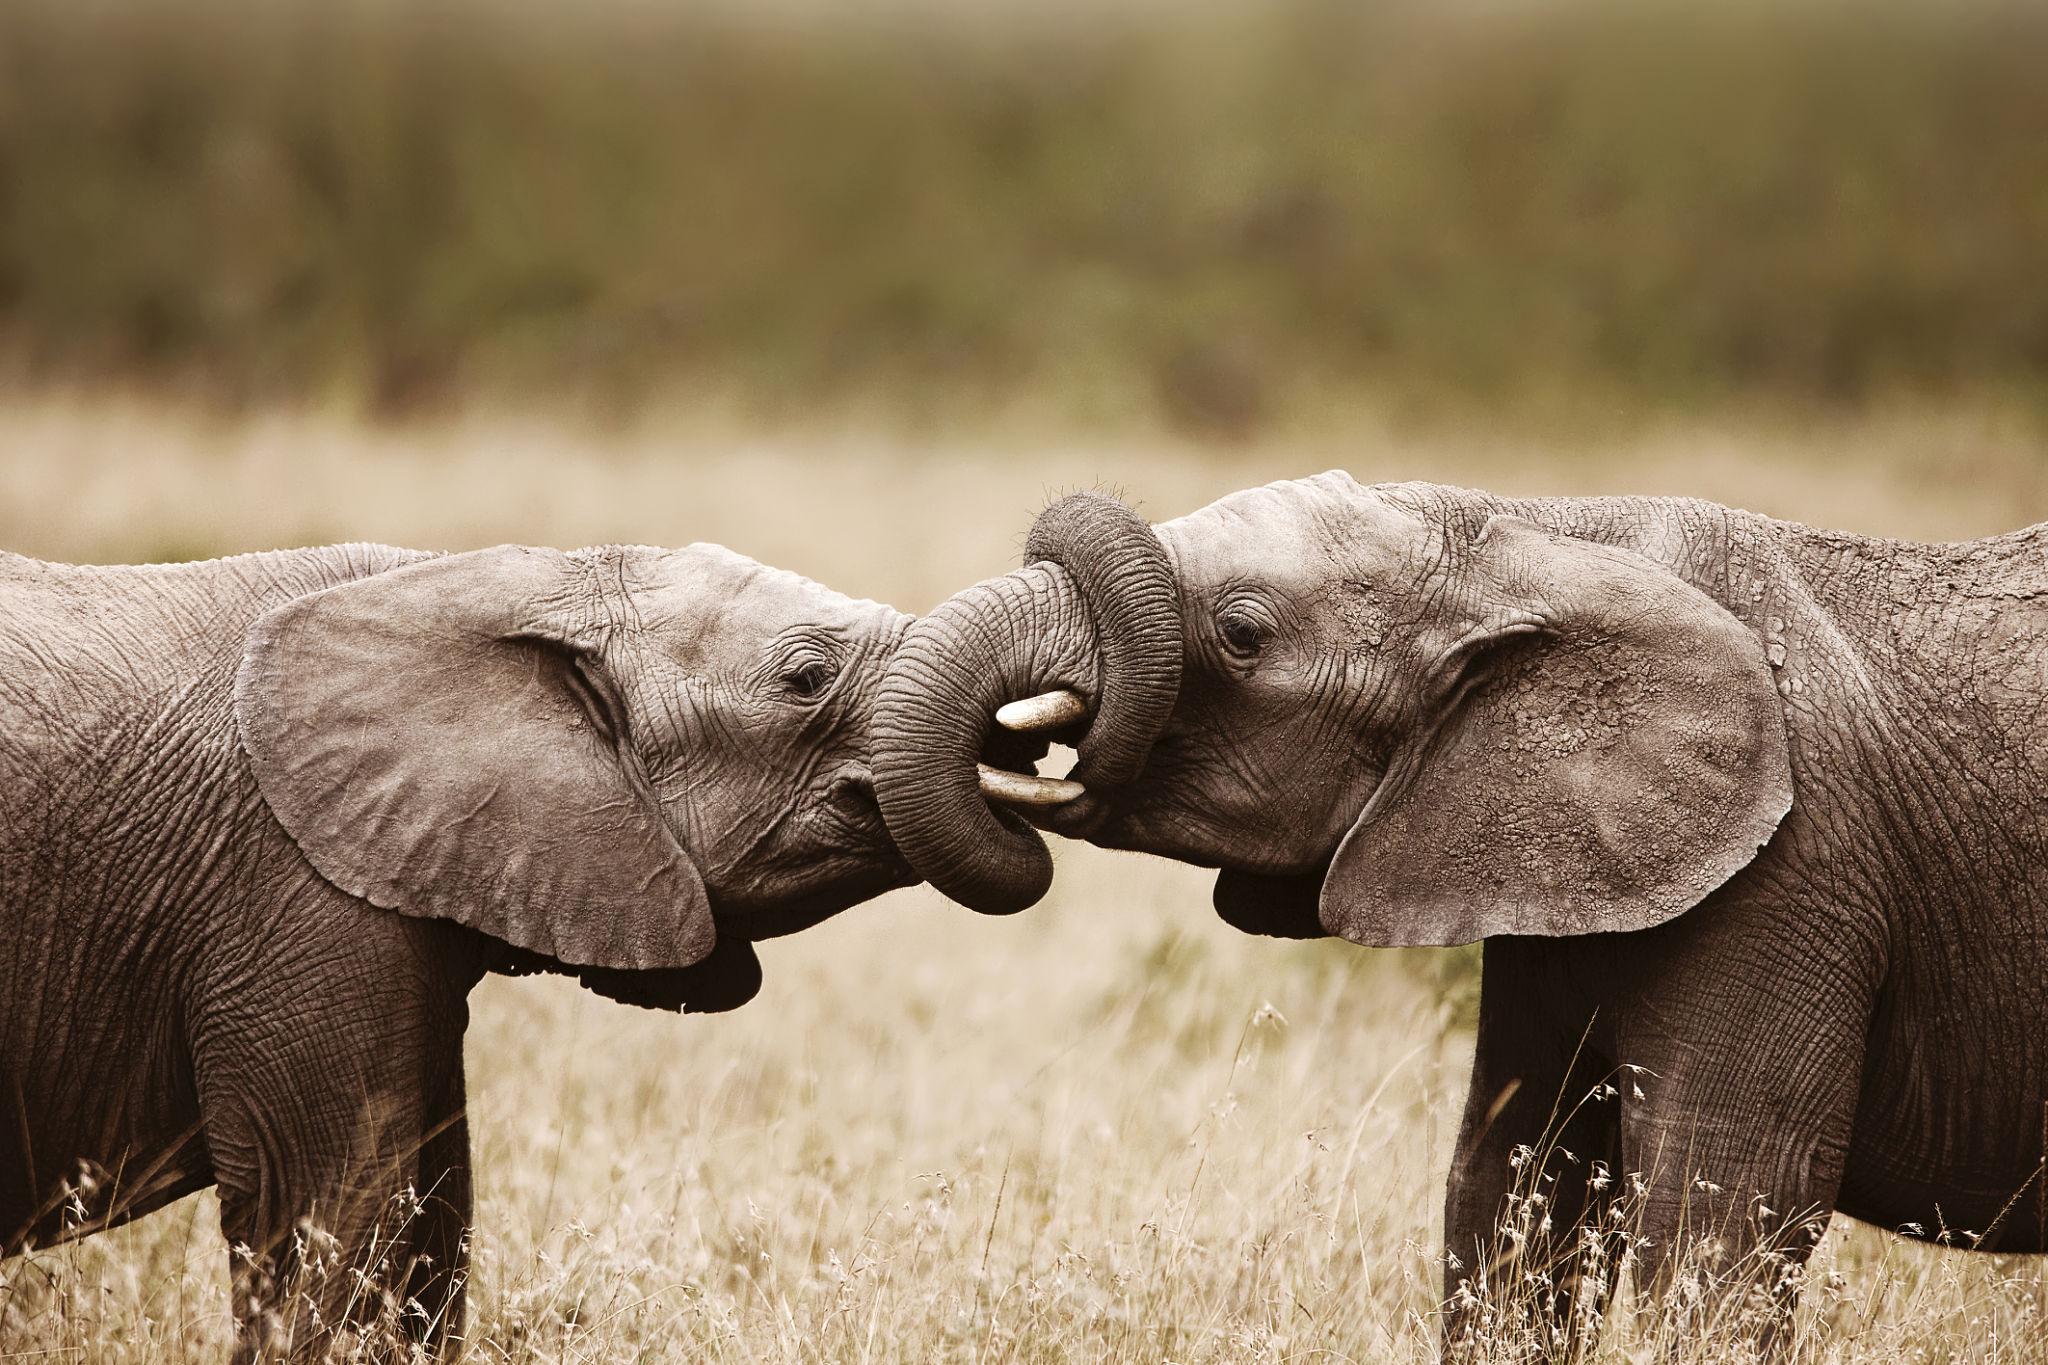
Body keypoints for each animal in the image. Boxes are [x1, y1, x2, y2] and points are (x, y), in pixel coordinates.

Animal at [872, 477, 2048, 1341]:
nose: (1029, 751)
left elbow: (1717, 1221)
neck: (1537, 535)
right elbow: (1513, 1192)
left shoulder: (1791, 877)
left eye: (1243, 633)